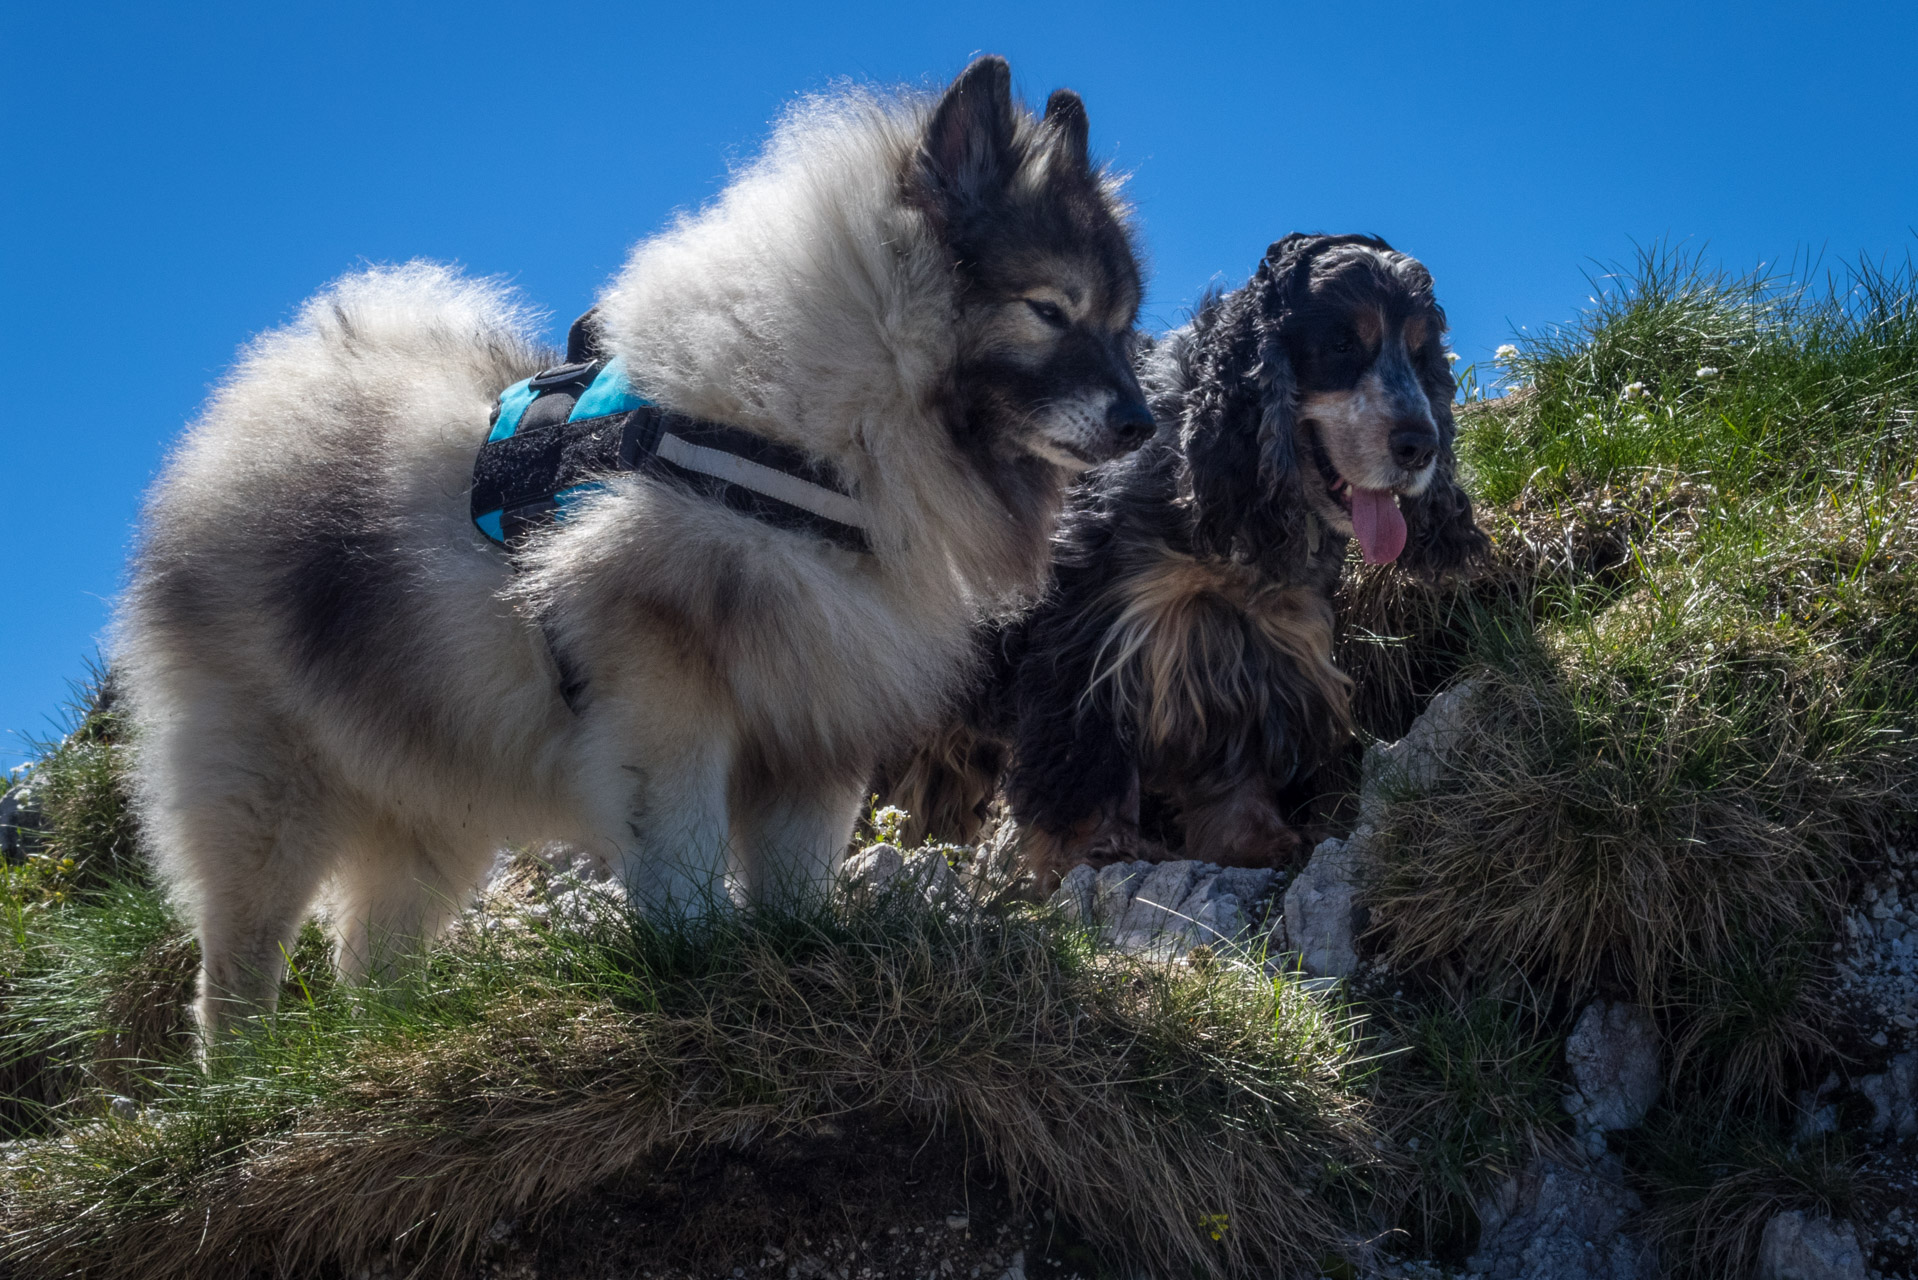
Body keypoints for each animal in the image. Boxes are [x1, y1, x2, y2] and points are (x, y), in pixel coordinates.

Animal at [889, 235, 1488, 886]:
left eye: (1422, 354)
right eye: (1341, 344)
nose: (1421, 446)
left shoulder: (1248, 646)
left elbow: (1236, 761)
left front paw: (1257, 840)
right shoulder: (1092, 636)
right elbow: (1084, 758)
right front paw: (1095, 851)